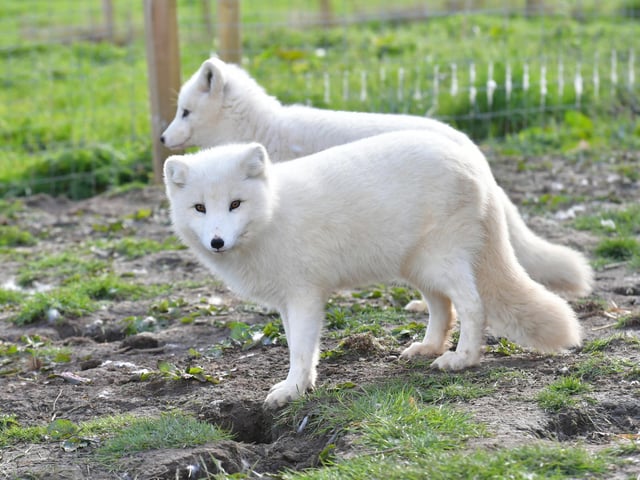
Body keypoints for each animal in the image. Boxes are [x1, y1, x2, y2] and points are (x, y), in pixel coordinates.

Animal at [163, 131, 582, 408]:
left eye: (236, 203)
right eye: (200, 208)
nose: (217, 241)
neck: (273, 213)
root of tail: (473, 159)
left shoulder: (305, 296)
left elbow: (300, 349)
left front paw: (291, 390)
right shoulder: (286, 301)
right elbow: (301, 348)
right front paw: (303, 385)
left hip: (441, 261)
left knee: (472, 306)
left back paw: (461, 359)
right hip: (417, 267)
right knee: (443, 308)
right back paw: (429, 347)